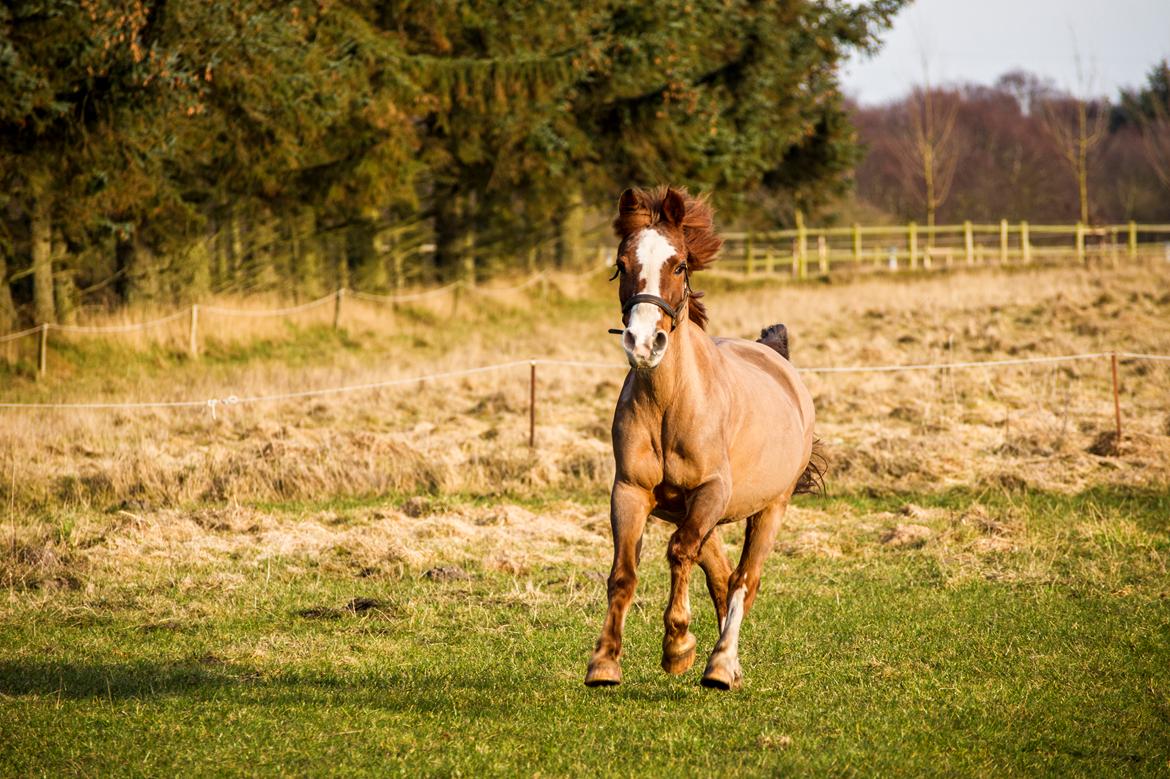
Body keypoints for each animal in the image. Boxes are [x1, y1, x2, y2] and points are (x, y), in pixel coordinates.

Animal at [585, 184, 823, 687]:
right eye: (621, 263)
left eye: (679, 265)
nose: (643, 343)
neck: (671, 403)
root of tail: (776, 356)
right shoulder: (630, 492)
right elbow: (624, 572)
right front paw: (604, 662)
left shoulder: (711, 490)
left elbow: (680, 554)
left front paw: (677, 645)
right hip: (699, 512)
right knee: (720, 573)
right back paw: (725, 662)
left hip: (768, 507)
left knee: (743, 580)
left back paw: (721, 664)